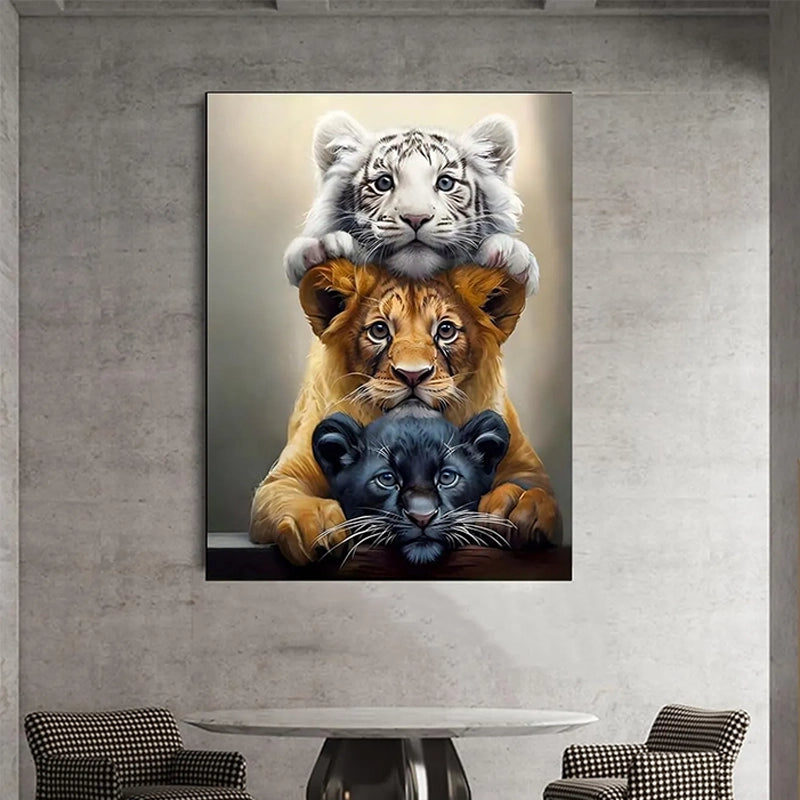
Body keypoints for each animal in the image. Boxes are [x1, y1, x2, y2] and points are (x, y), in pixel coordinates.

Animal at [250, 258, 561, 566]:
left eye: (445, 330)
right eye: (379, 330)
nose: (412, 375)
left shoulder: (524, 465)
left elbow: (537, 489)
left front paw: (519, 505)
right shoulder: (284, 477)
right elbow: (287, 496)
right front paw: (316, 524)